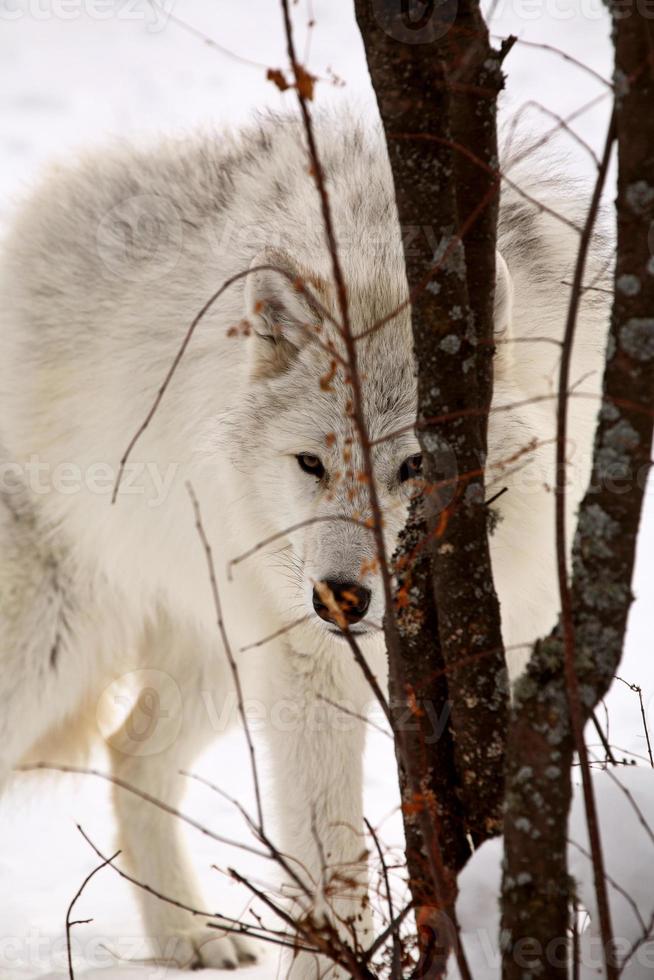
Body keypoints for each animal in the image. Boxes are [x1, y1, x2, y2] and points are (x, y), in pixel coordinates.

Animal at [0, 111, 608, 976]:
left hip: (220, 656)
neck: (378, 249)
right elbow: (330, 866)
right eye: (311, 464)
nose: (338, 598)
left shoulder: (509, 650)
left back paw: (187, 936)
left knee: (131, 750)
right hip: (63, 647)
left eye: (414, 465)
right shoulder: (309, 670)